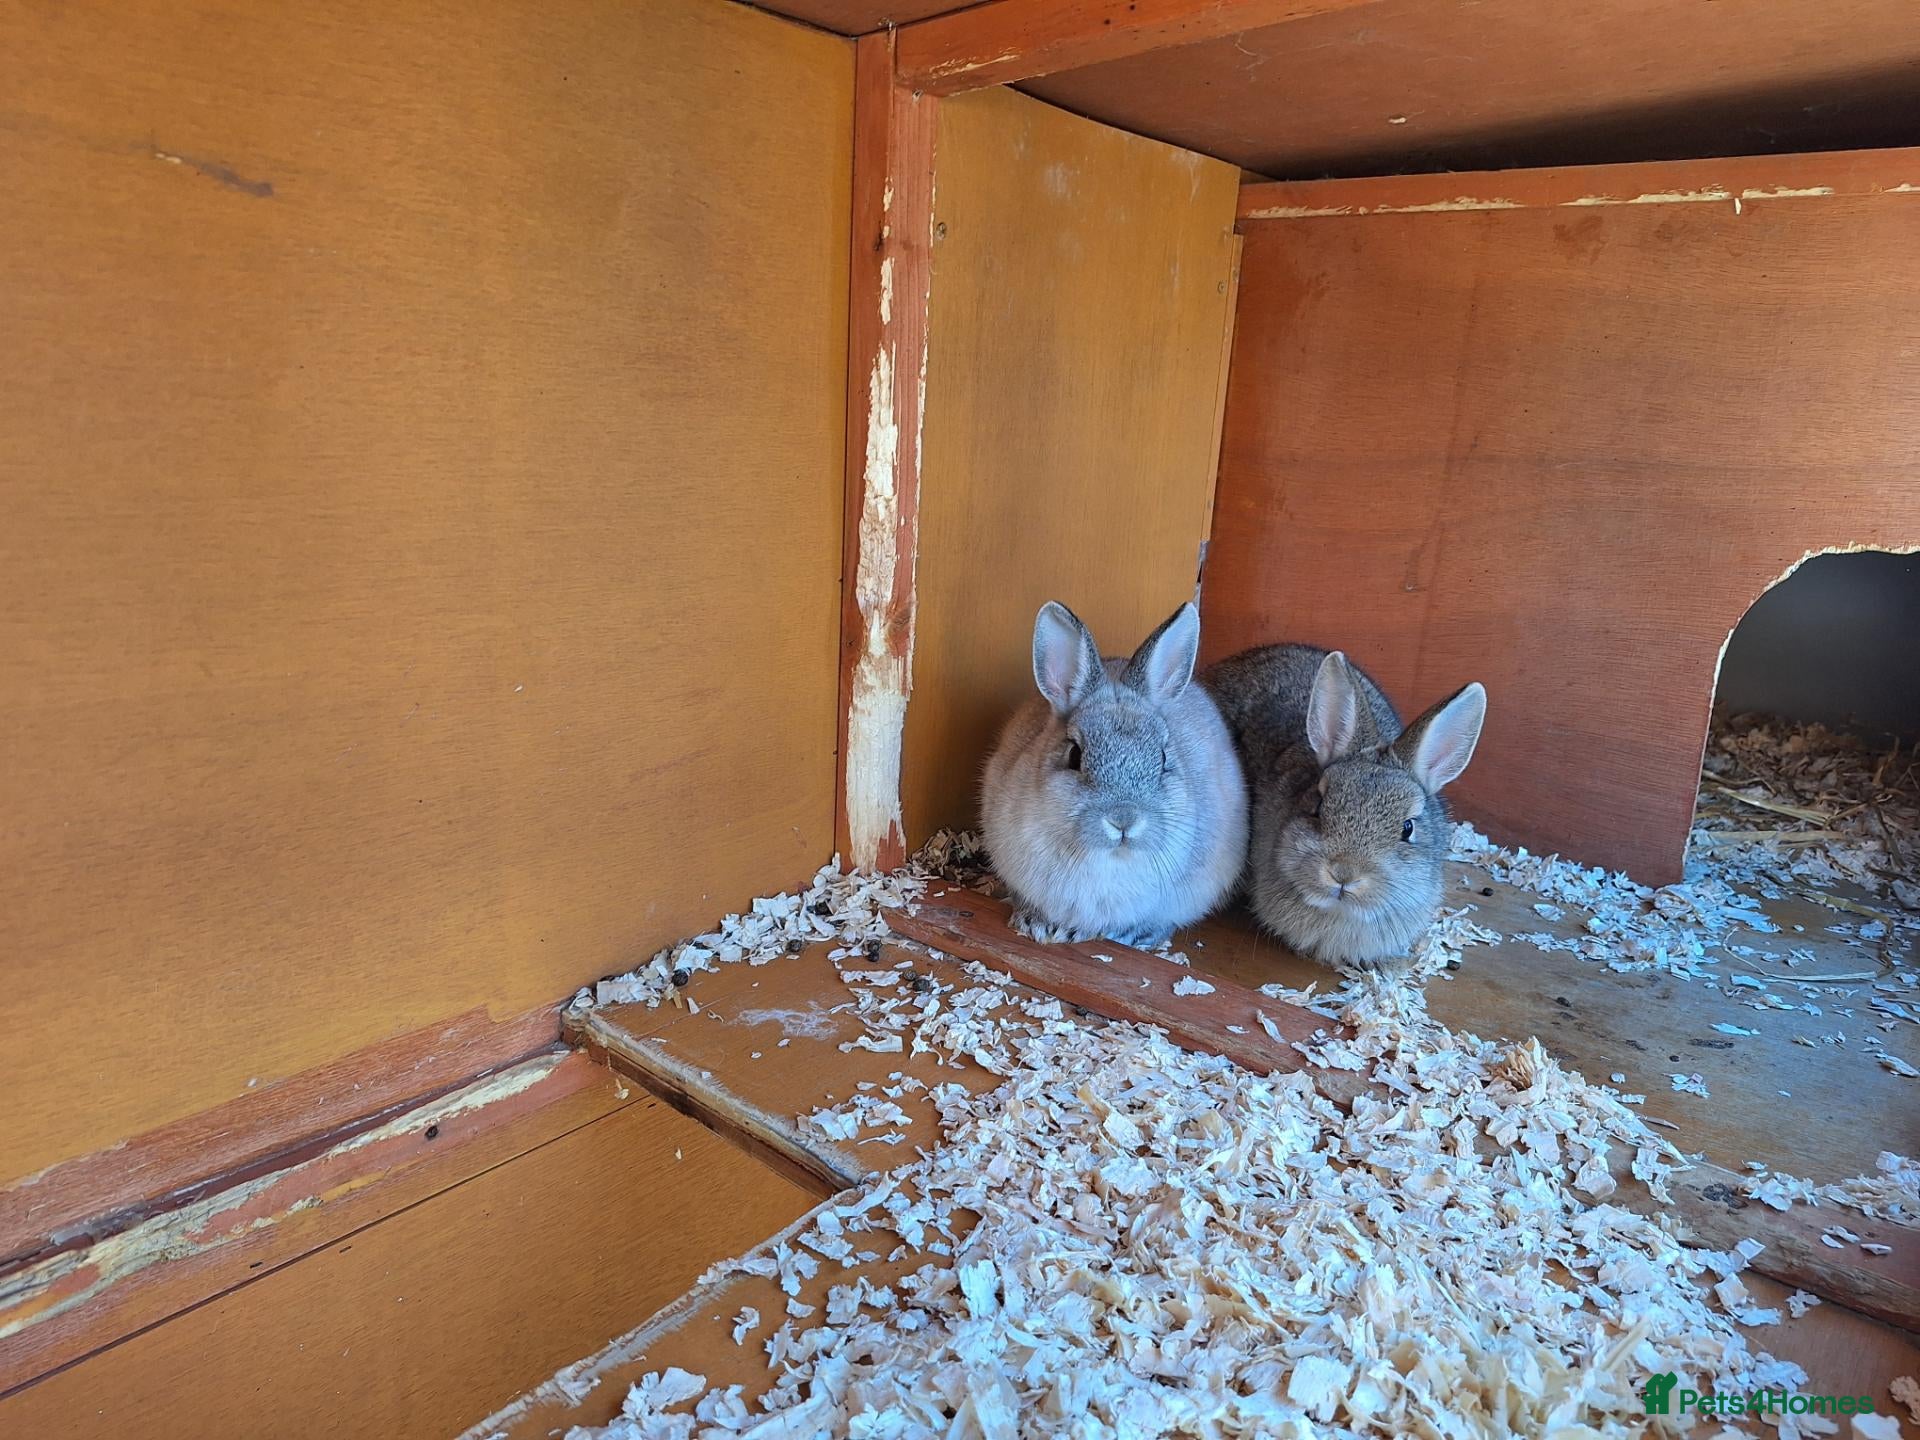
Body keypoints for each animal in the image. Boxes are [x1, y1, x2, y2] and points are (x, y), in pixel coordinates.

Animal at [981, 600, 1248, 950]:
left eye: (1164, 758)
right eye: (1075, 756)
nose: (1124, 820)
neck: (1109, 858)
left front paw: (1129, 933)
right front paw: (1037, 924)